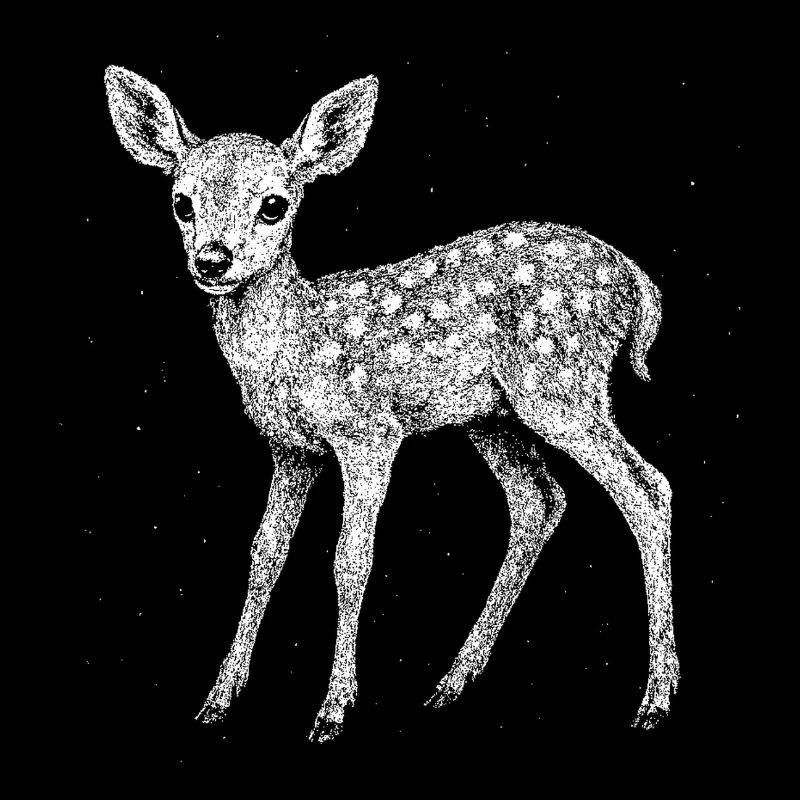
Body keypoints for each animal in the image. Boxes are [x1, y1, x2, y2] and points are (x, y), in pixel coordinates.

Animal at [104, 66, 680, 741]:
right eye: (181, 202)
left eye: (275, 204)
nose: (213, 260)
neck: (296, 344)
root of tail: (640, 285)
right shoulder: (291, 449)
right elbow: (264, 552)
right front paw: (219, 697)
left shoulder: (369, 434)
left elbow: (351, 559)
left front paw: (333, 709)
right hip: (493, 416)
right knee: (539, 501)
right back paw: (452, 682)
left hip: (562, 383)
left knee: (645, 487)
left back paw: (656, 699)